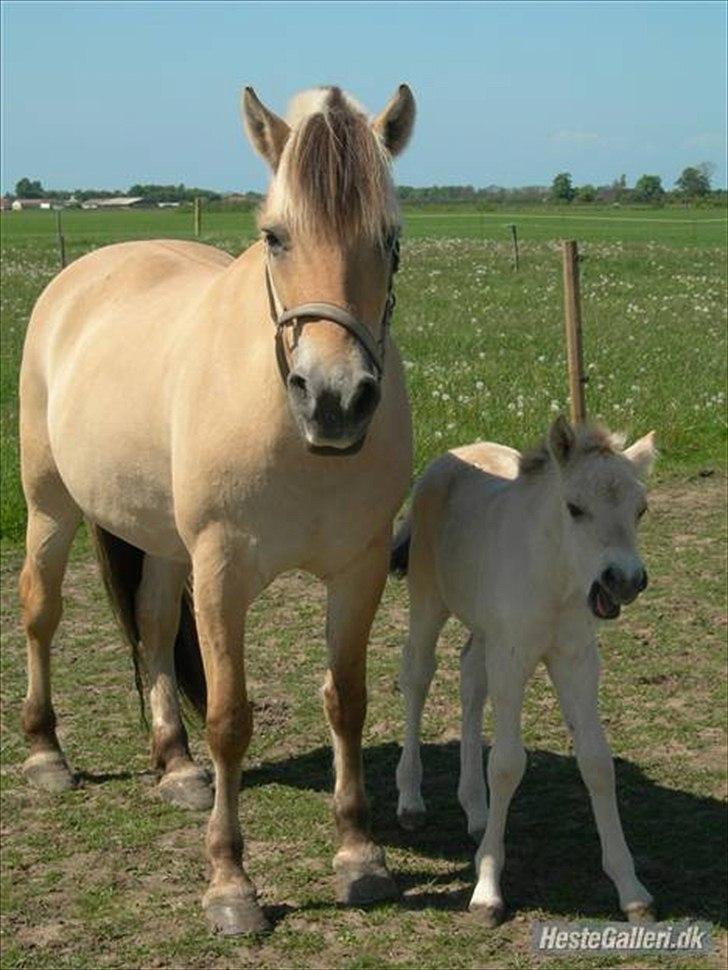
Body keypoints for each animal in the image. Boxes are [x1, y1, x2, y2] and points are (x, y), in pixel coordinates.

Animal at [18, 87, 416, 932]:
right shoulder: (224, 572)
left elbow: (348, 702)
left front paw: (359, 855)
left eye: (390, 239)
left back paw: (175, 765)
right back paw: (46, 754)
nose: (334, 399)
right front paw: (231, 884)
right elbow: (232, 719)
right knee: (41, 612)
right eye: (274, 235)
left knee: (153, 625)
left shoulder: (359, 569)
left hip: (166, 544)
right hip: (51, 506)